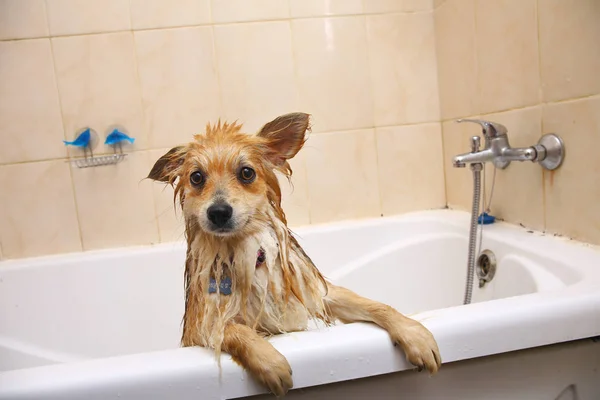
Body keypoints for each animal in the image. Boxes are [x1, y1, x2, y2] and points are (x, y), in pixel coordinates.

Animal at [148, 112, 442, 396]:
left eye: (246, 173)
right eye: (196, 177)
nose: (218, 212)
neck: (245, 254)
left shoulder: (316, 293)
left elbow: (377, 305)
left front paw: (414, 333)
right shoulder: (201, 327)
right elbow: (232, 329)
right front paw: (269, 361)